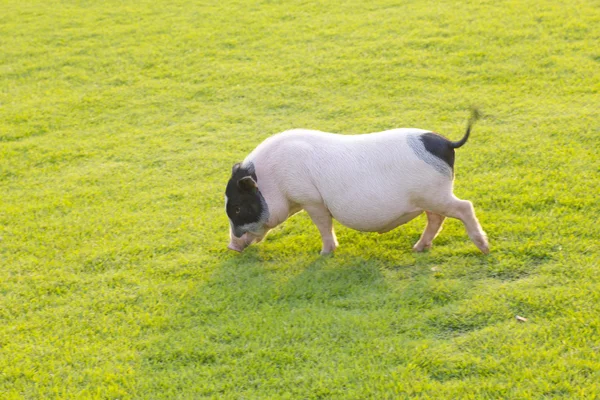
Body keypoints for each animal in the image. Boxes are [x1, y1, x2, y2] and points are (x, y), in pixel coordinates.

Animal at [225, 108, 488, 255]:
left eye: (237, 208)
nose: (231, 246)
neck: (272, 180)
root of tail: (447, 143)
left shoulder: (311, 199)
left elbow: (323, 225)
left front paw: (324, 253)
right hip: (430, 197)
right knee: (436, 218)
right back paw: (418, 248)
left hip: (435, 194)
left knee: (464, 206)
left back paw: (484, 249)